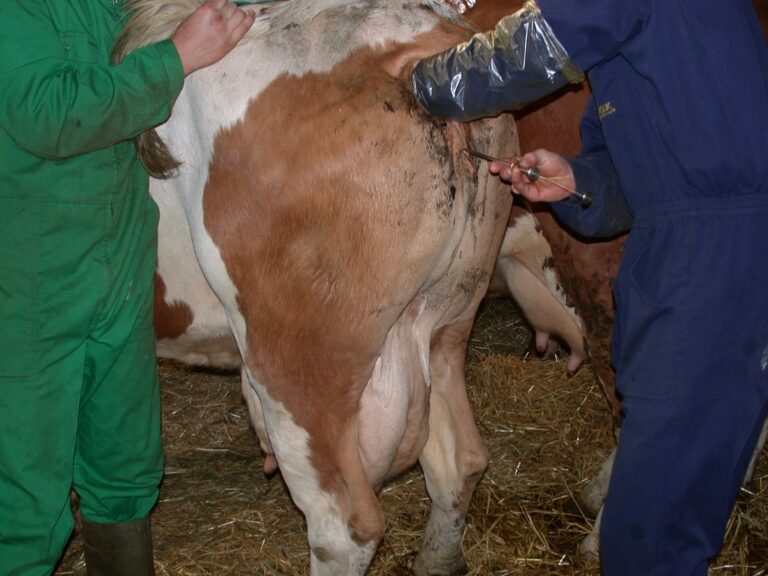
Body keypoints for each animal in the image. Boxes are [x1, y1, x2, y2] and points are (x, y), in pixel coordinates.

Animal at [117, 1, 521, 574]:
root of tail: (416, 44)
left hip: (297, 364)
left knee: (345, 525)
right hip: (451, 313)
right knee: (460, 460)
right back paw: (436, 558)